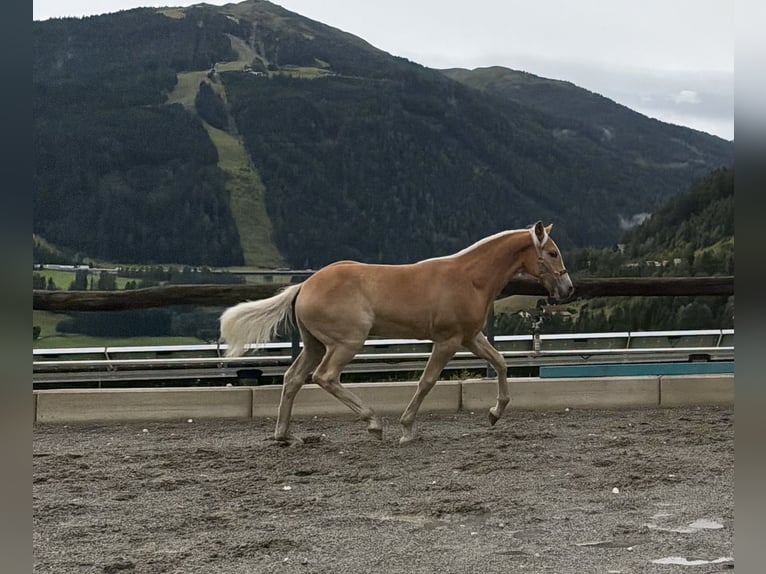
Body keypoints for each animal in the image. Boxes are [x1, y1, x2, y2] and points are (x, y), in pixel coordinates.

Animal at [220, 221, 574, 444]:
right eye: (552, 253)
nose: (568, 288)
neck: (469, 278)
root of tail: (304, 285)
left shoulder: (470, 337)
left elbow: (500, 362)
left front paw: (494, 414)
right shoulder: (447, 341)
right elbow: (427, 381)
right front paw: (406, 429)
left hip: (315, 344)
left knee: (292, 378)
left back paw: (284, 435)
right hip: (346, 342)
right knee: (324, 377)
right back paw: (374, 424)